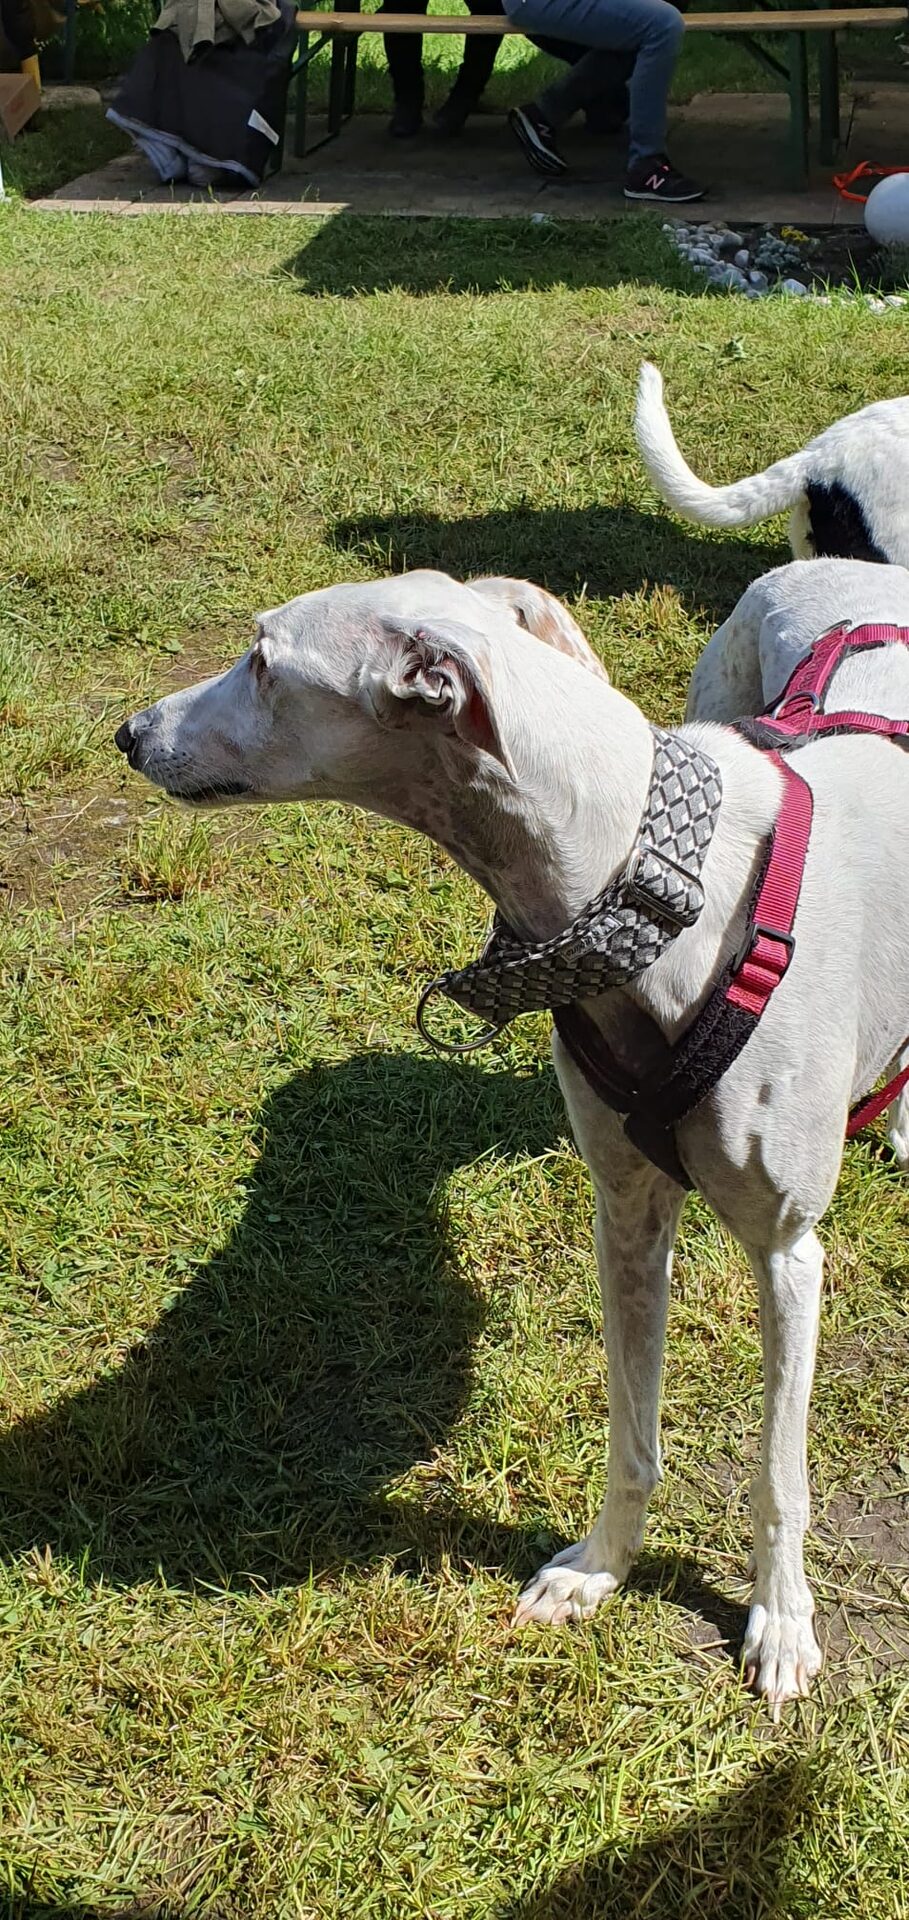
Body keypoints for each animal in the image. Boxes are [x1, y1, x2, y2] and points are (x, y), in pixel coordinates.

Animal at [115, 562, 909, 1710]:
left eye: (262, 659)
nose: (129, 733)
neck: (654, 894)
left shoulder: (788, 1251)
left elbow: (777, 1477)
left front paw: (783, 1621)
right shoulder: (626, 1215)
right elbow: (632, 1437)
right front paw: (598, 1571)